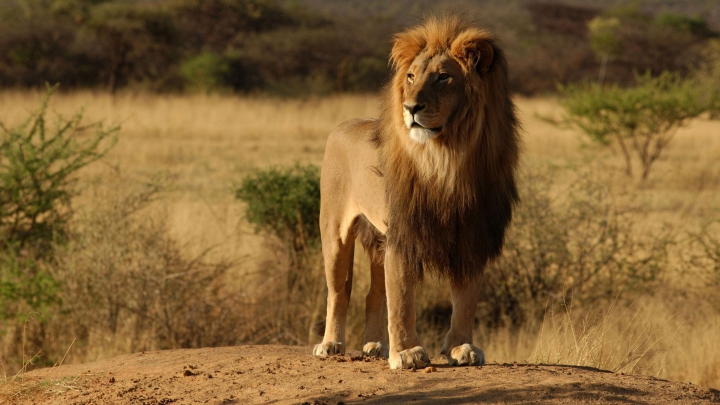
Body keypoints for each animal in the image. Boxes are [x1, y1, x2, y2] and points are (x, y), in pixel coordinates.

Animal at [314, 15, 516, 370]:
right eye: (411, 77)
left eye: (443, 77)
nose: (411, 107)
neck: (447, 159)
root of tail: (342, 126)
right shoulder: (404, 234)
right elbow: (402, 299)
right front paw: (407, 353)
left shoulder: (472, 235)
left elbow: (466, 300)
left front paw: (461, 347)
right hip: (335, 231)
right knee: (339, 291)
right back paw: (331, 344)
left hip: (378, 240)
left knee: (373, 294)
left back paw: (375, 345)